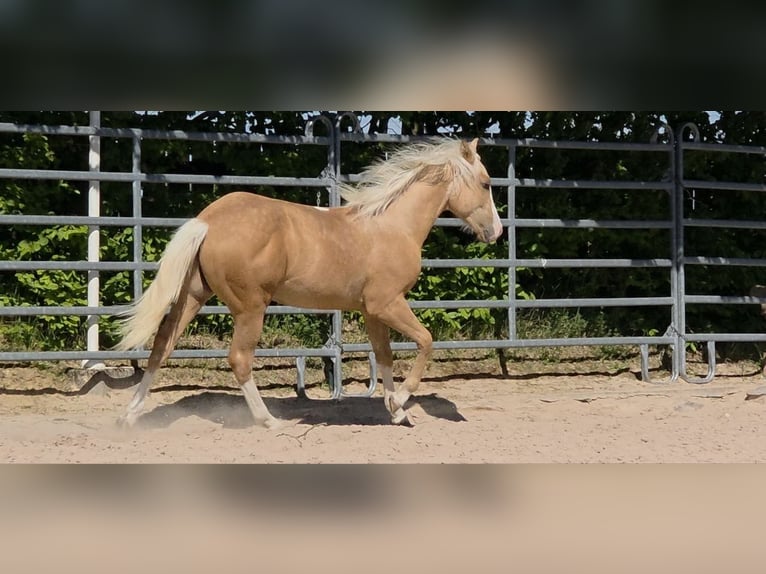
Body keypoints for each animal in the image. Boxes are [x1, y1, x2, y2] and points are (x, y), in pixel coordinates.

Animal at [114, 137, 503, 428]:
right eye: (486, 183)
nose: (496, 232)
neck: (391, 225)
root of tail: (208, 220)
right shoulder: (388, 304)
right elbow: (425, 341)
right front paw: (402, 401)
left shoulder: (371, 312)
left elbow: (385, 356)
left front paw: (397, 412)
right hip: (250, 307)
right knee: (239, 358)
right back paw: (268, 420)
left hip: (193, 295)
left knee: (161, 345)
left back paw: (130, 416)